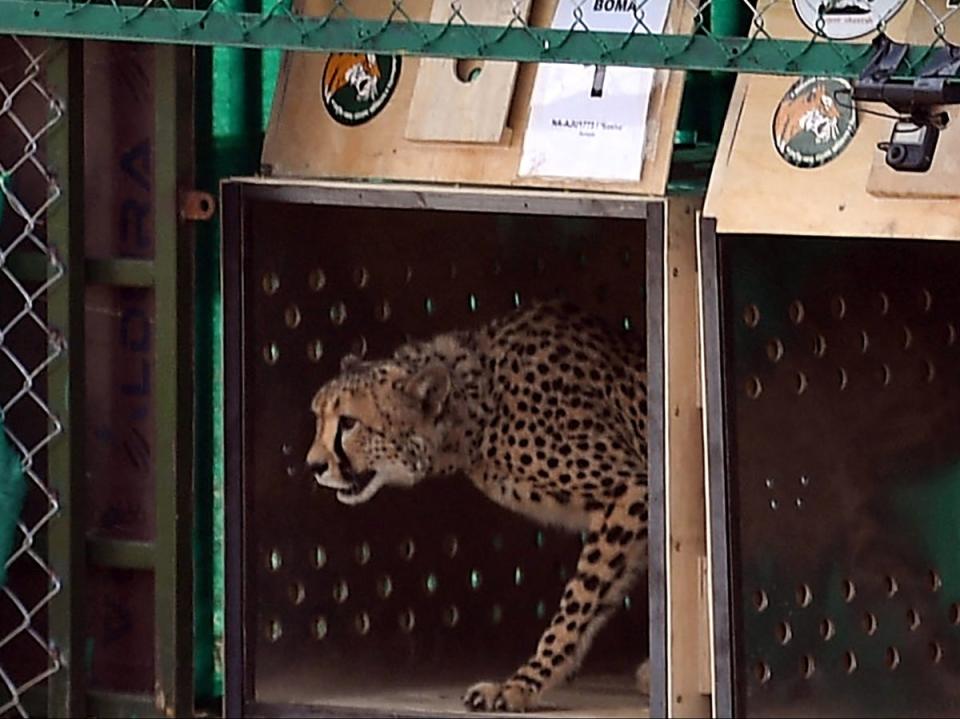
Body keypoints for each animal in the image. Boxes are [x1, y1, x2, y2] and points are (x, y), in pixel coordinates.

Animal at [308, 300, 652, 716]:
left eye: (348, 423)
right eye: (318, 417)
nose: (313, 465)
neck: (478, 410)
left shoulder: (631, 488)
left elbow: (578, 602)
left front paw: (522, 685)